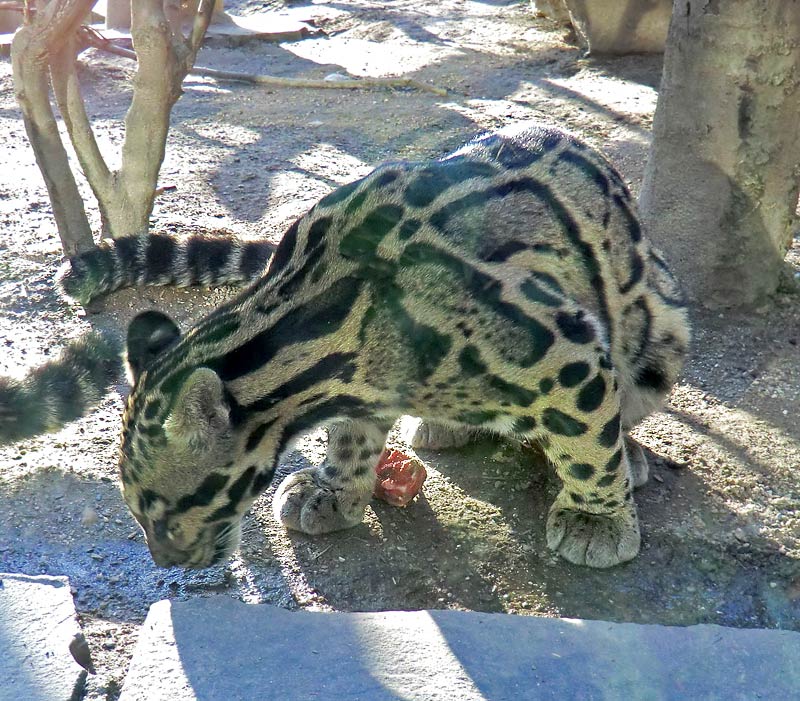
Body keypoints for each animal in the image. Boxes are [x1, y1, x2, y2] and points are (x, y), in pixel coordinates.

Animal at [65, 123, 688, 568]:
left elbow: (588, 445)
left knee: (622, 402)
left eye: (165, 510)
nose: (168, 562)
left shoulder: (565, 350)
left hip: (661, 325)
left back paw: (629, 452)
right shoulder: (362, 385)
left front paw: (597, 519)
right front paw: (336, 487)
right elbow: (352, 436)